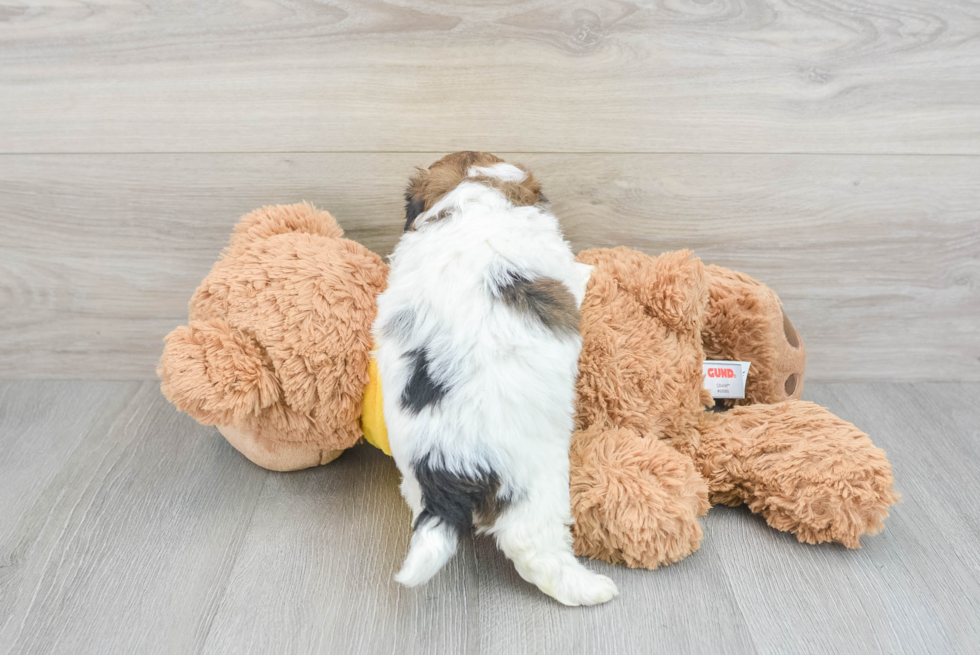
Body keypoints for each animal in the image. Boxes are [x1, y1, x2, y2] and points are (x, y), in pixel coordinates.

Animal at [378, 151, 620, 608]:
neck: (472, 195)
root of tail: (446, 465)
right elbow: (575, 274)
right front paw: (591, 268)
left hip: (413, 481)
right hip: (534, 486)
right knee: (533, 548)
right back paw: (591, 588)